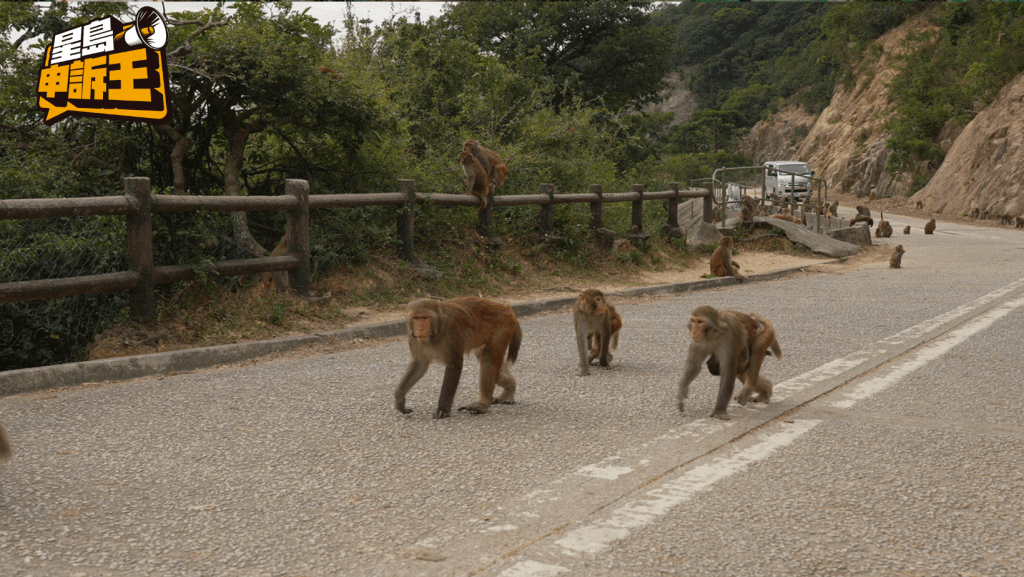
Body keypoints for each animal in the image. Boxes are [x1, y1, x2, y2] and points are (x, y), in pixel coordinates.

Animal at [391, 297, 520, 420]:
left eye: (425, 318)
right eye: (416, 318)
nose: (421, 329)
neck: (437, 329)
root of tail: (507, 307)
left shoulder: (452, 332)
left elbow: (454, 365)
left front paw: (442, 410)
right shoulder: (412, 337)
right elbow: (419, 365)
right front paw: (400, 398)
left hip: (503, 327)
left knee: (488, 359)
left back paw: (483, 404)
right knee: (487, 359)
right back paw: (510, 388)